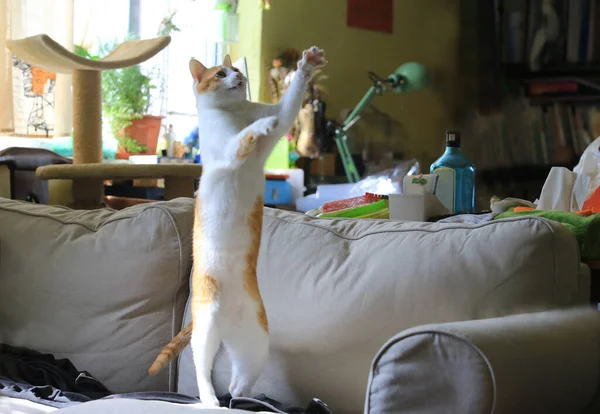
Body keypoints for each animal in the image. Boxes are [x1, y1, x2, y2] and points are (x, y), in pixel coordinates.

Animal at [149, 45, 328, 404]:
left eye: (235, 71)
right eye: (220, 74)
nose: (239, 76)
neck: (236, 112)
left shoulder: (281, 113)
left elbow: (287, 106)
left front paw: (307, 65)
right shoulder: (228, 150)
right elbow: (246, 135)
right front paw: (260, 125)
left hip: (255, 341)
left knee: (240, 376)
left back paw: (240, 397)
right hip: (205, 328)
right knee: (202, 370)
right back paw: (211, 401)